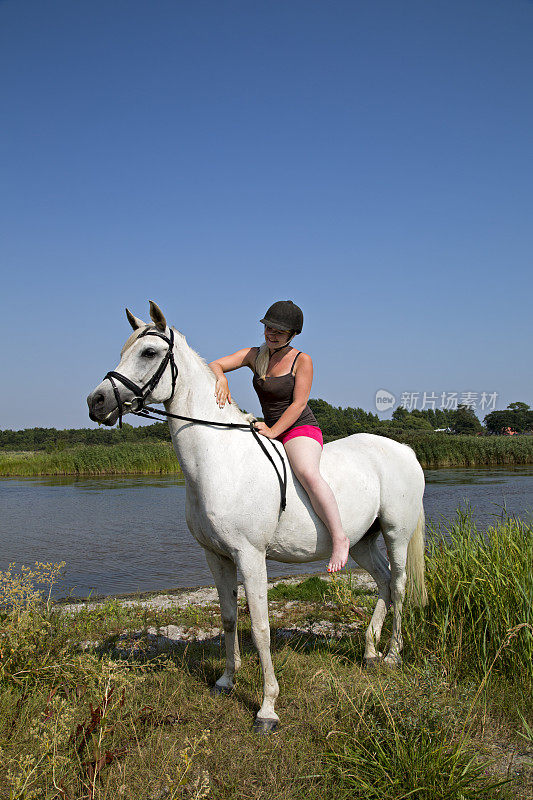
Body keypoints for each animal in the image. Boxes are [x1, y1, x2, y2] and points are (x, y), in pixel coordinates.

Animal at [89, 304, 426, 736]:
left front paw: (267, 709)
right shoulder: (216, 557)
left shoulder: (250, 557)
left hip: (396, 533)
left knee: (398, 584)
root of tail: (403, 448)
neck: (220, 459)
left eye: (148, 352)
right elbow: (229, 618)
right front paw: (225, 682)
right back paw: (369, 651)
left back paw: (393, 655)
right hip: (362, 542)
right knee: (383, 581)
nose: (96, 401)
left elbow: (261, 628)